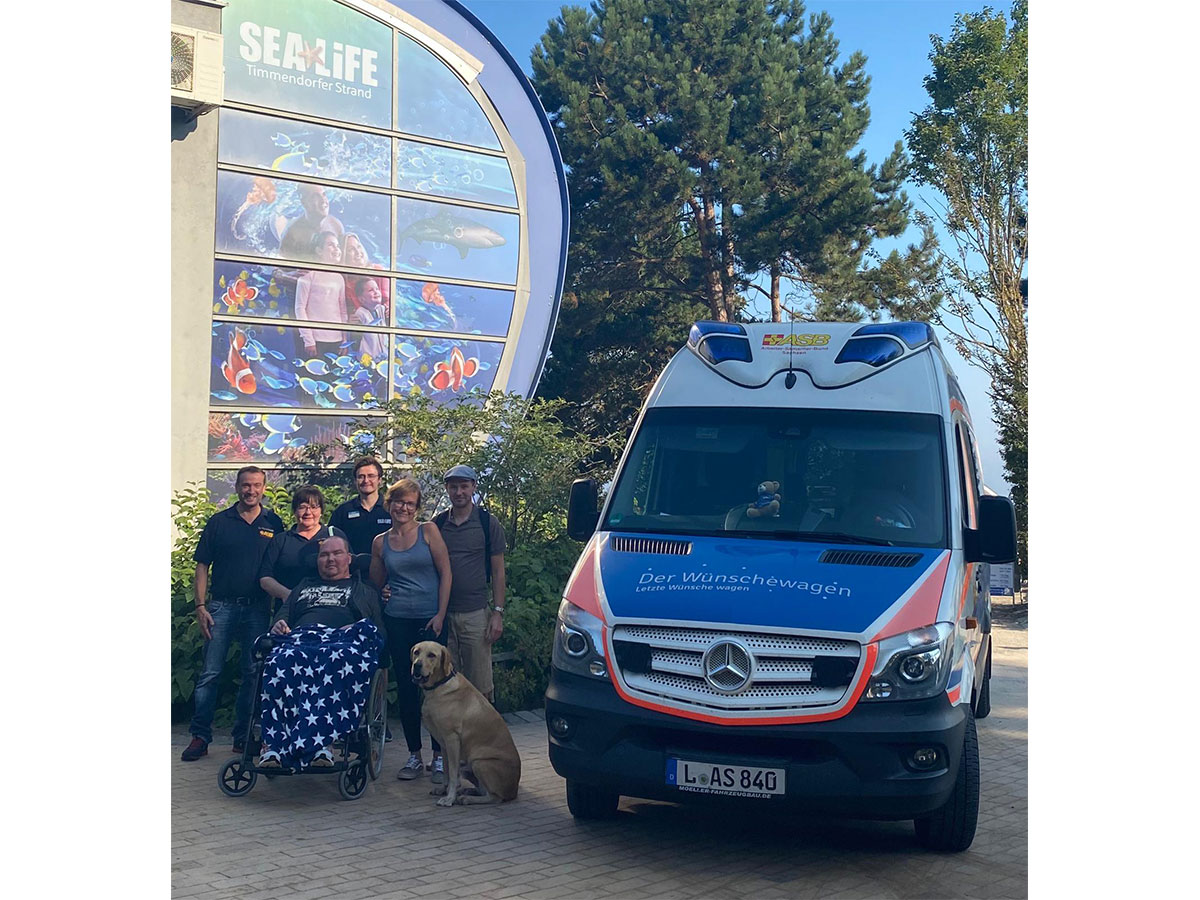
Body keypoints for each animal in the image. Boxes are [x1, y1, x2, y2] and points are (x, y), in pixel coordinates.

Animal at [410, 643, 518, 811]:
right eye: (416, 652)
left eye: (431, 655)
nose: (417, 665)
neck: (439, 686)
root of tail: (514, 790)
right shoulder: (444, 744)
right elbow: (446, 771)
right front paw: (444, 790)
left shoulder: (452, 740)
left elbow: (453, 774)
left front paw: (449, 798)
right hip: (468, 767)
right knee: (483, 790)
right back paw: (467, 792)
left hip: (480, 763)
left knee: (495, 797)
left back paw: (466, 798)